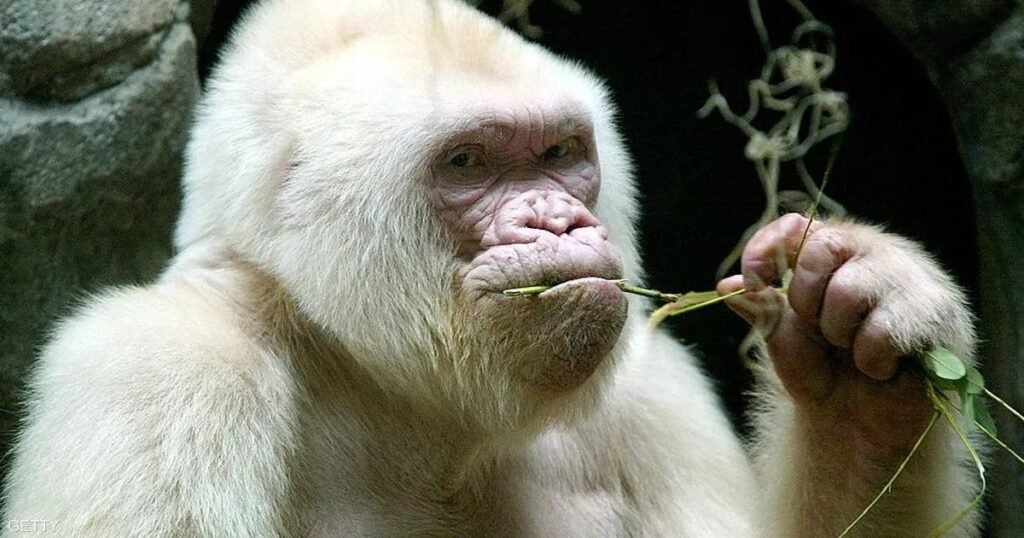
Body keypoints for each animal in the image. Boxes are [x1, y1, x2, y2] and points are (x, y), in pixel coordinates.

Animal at [3, 0, 980, 536]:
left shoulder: (650, 391)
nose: (557, 218)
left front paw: (857, 384)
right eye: (467, 163)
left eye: (558, 154)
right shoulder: (162, 371)